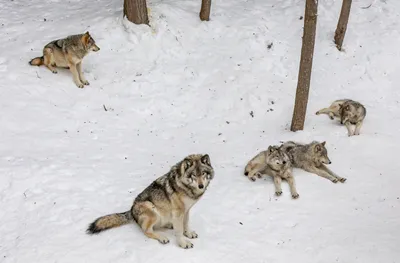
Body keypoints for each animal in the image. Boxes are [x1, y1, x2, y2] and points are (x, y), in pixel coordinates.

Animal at [86, 156, 214, 251]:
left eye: (203, 173)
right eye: (194, 175)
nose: (201, 186)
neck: (185, 186)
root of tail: (131, 211)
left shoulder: (186, 210)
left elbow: (185, 224)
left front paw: (189, 234)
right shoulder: (179, 212)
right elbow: (179, 231)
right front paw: (183, 243)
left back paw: (169, 225)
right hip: (150, 207)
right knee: (147, 231)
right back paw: (162, 237)